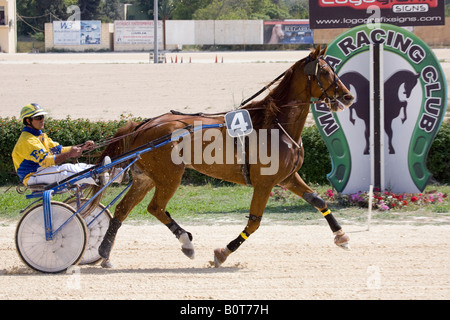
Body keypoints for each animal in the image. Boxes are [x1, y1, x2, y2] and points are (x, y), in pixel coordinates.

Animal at [91, 46, 356, 268]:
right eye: (324, 71)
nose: (348, 97)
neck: (275, 123)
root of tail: (143, 125)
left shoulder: (287, 177)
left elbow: (318, 200)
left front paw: (341, 236)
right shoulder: (265, 183)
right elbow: (254, 222)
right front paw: (222, 253)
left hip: (145, 177)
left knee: (122, 210)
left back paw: (105, 253)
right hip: (169, 176)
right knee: (156, 208)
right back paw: (186, 242)